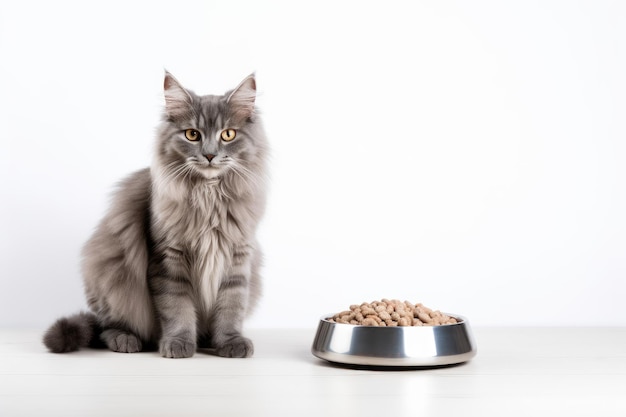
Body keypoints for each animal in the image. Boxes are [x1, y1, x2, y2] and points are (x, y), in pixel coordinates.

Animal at [43, 71, 268, 358]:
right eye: (192, 134)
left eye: (228, 135)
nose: (209, 155)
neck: (208, 196)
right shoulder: (168, 257)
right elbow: (177, 307)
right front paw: (179, 342)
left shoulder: (237, 258)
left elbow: (231, 306)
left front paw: (230, 342)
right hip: (110, 272)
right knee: (106, 327)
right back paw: (125, 340)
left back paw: (206, 339)